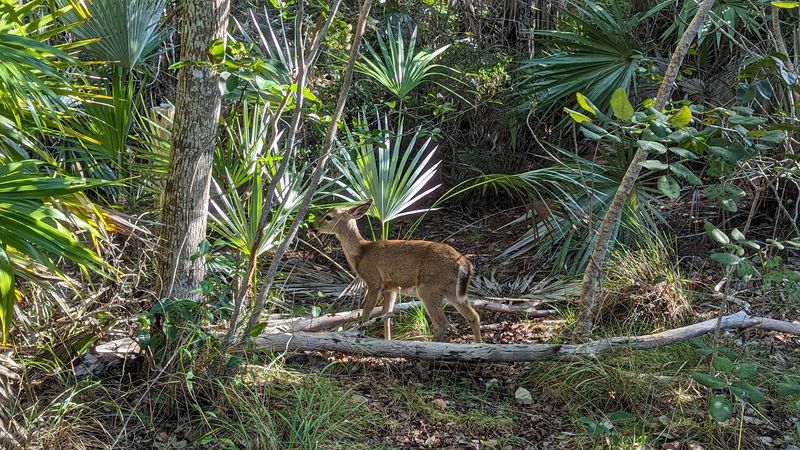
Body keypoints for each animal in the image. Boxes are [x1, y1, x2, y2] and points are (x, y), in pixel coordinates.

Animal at [309, 199, 482, 343]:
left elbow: (366, 313)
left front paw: (361, 336)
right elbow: (386, 316)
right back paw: (478, 346)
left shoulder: (374, 281)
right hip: (451, 290)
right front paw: (388, 341)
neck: (361, 253)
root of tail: (464, 263)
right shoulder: (390, 288)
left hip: (429, 288)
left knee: (442, 323)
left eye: (329, 217)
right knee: (473, 316)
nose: (313, 227)